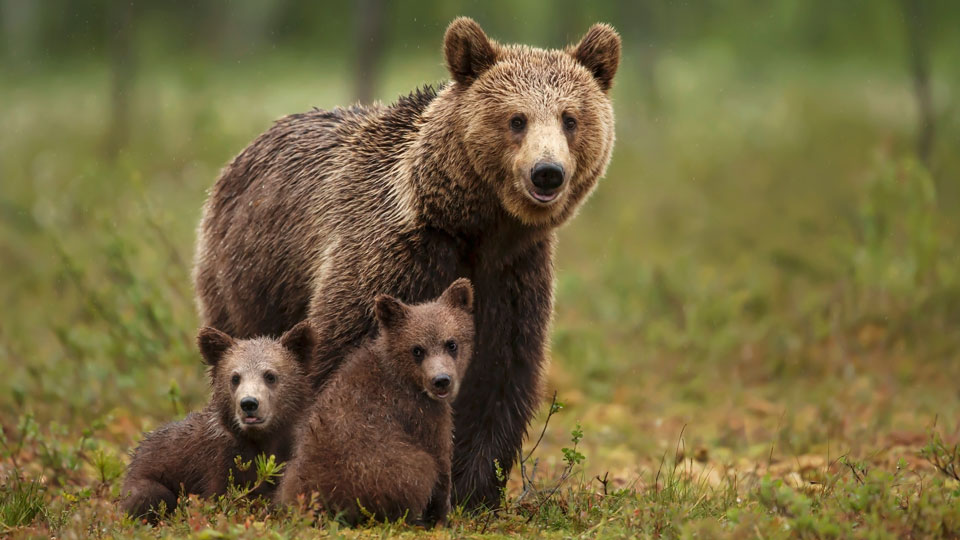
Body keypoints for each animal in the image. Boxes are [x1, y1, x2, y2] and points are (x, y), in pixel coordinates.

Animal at [193, 15, 624, 506]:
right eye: (517, 119)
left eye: (571, 119)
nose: (547, 172)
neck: (474, 226)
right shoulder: (392, 257)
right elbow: (342, 358)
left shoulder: (512, 276)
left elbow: (498, 376)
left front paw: (474, 490)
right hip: (249, 274)